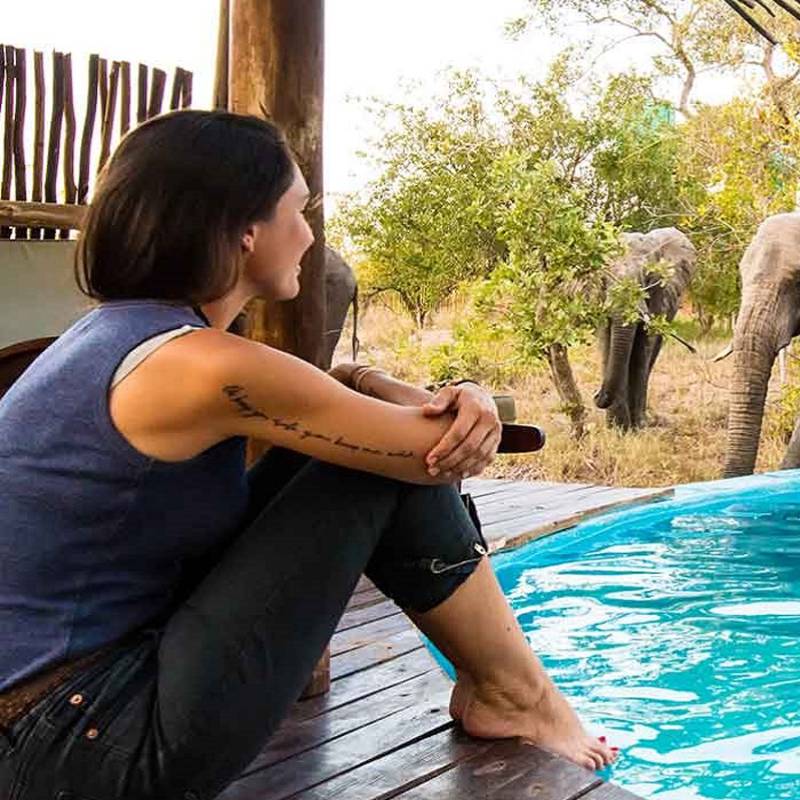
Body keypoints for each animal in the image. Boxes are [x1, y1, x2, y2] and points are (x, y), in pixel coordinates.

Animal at [592, 228, 696, 428]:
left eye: (647, 277)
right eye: (604, 277)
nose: (596, 395)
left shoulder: (660, 294)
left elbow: (643, 347)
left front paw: (637, 426)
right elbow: (607, 342)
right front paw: (617, 428)